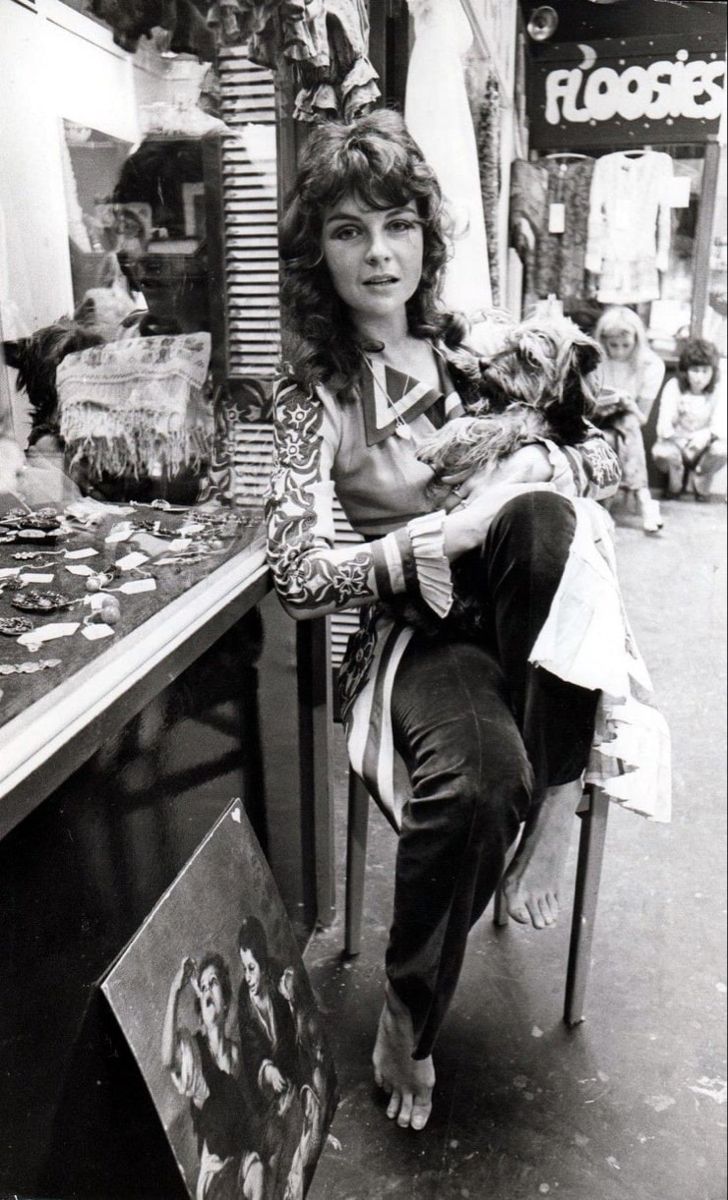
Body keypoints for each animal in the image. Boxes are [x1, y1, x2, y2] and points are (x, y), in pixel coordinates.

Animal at [419, 316, 602, 494]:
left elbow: (472, 423)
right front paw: (466, 361)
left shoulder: (515, 427)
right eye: (508, 344)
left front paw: (436, 440)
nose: (483, 362)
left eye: (530, 357)